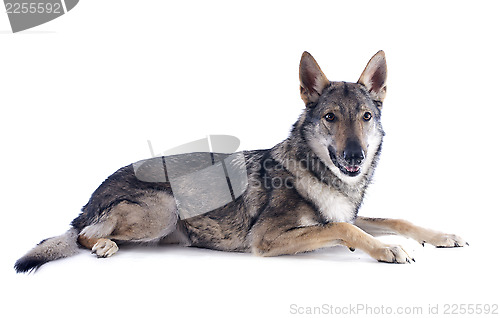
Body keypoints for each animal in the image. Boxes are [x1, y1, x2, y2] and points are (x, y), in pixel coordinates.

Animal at [16, 51, 468, 272]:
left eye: (366, 117)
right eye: (330, 117)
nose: (354, 155)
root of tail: (91, 196)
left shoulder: (350, 212)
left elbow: (392, 219)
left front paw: (441, 236)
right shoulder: (266, 239)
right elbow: (343, 228)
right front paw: (387, 250)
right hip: (163, 209)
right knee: (81, 234)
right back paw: (103, 244)